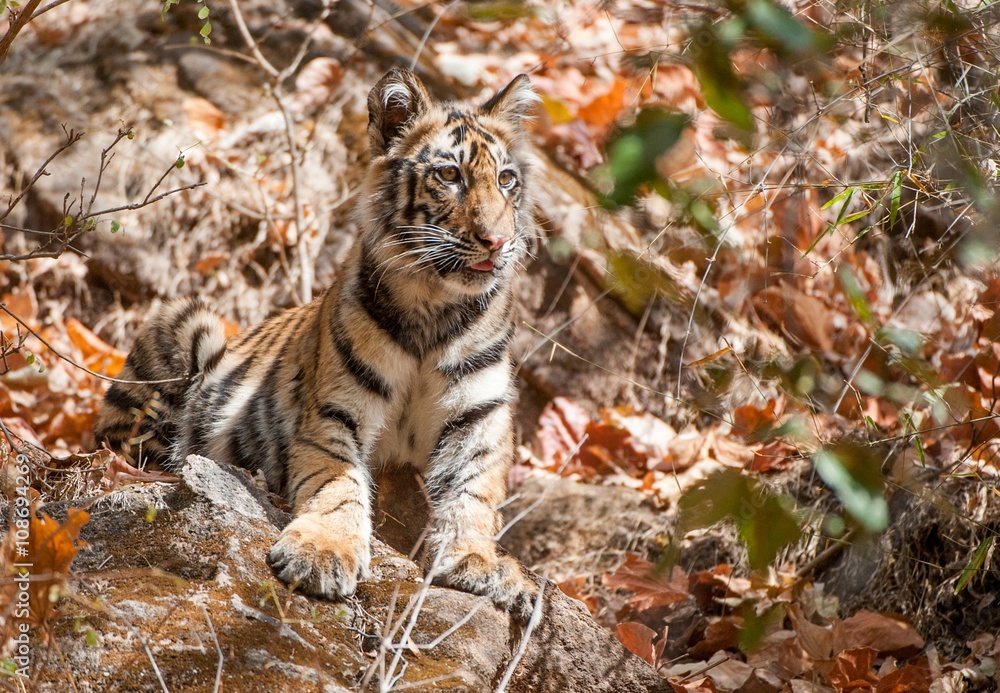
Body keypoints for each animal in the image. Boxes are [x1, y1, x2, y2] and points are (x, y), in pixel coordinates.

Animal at [94, 68, 540, 617]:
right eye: (450, 176)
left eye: (506, 180)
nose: (498, 242)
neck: (436, 308)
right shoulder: (333, 412)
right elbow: (338, 483)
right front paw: (322, 553)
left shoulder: (480, 417)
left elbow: (475, 492)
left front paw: (479, 562)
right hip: (186, 327)